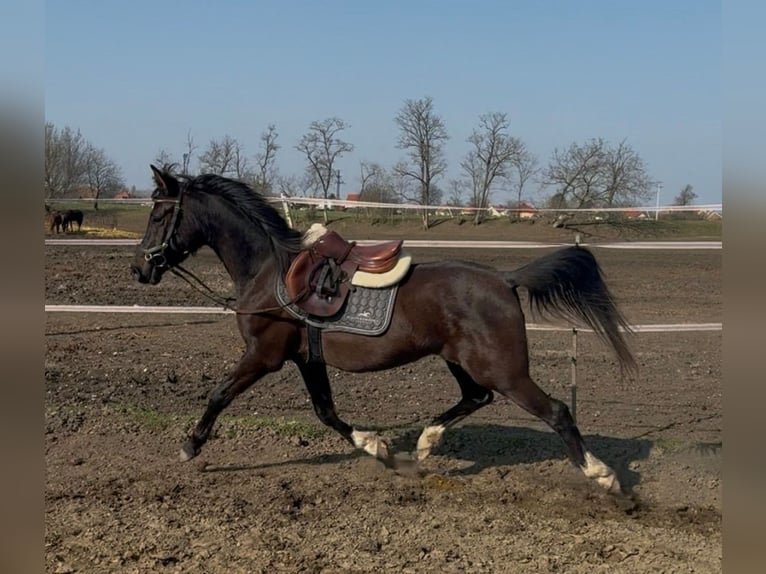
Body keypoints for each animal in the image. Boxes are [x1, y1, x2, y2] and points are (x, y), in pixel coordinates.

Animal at [131, 165, 637, 499]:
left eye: (157, 215)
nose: (140, 268)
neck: (270, 271)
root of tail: (505, 279)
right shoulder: (306, 358)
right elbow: (327, 412)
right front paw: (380, 448)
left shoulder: (264, 355)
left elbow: (219, 394)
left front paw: (190, 446)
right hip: (461, 361)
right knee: (476, 398)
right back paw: (424, 445)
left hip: (504, 370)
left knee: (556, 411)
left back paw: (605, 477)